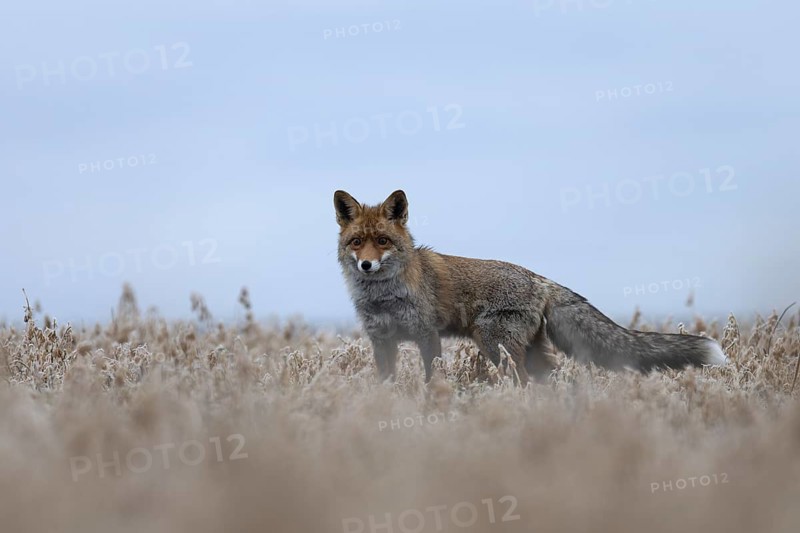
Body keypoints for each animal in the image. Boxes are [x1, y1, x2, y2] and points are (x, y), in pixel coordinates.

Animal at [334, 189, 727, 384]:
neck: (384, 297)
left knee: (523, 381)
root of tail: (540, 279)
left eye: (383, 241)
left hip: (494, 344)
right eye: (357, 242)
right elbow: (385, 382)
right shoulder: (382, 340)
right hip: (527, 351)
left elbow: (433, 378)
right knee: (551, 380)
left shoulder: (426, 335)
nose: (366, 265)